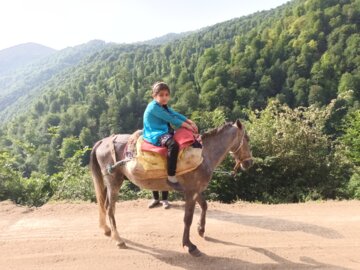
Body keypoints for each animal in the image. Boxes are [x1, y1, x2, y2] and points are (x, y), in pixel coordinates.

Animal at [89, 119, 253, 256]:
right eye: (247, 139)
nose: (249, 163)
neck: (203, 155)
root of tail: (104, 141)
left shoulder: (195, 190)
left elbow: (204, 206)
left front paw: (201, 229)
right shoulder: (191, 192)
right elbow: (188, 218)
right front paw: (189, 245)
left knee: (105, 205)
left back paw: (107, 229)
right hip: (114, 182)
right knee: (110, 208)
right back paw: (118, 239)